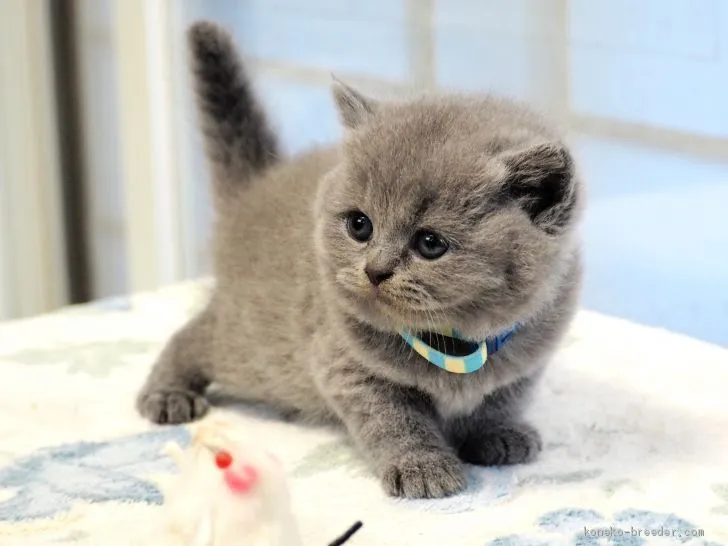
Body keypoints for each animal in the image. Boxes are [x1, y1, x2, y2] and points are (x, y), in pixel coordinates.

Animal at [136, 21, 584, 498]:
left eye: (430, 243)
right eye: (359, 225)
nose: (375, 270)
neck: (454, 343)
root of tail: (254, 192)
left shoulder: (527, 357)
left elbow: (500, 398)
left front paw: (497, 433)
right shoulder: (347, 367)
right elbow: (396, 421)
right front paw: (423, 467)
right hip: (251, 347)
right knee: (193, 336)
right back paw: (167, 393)